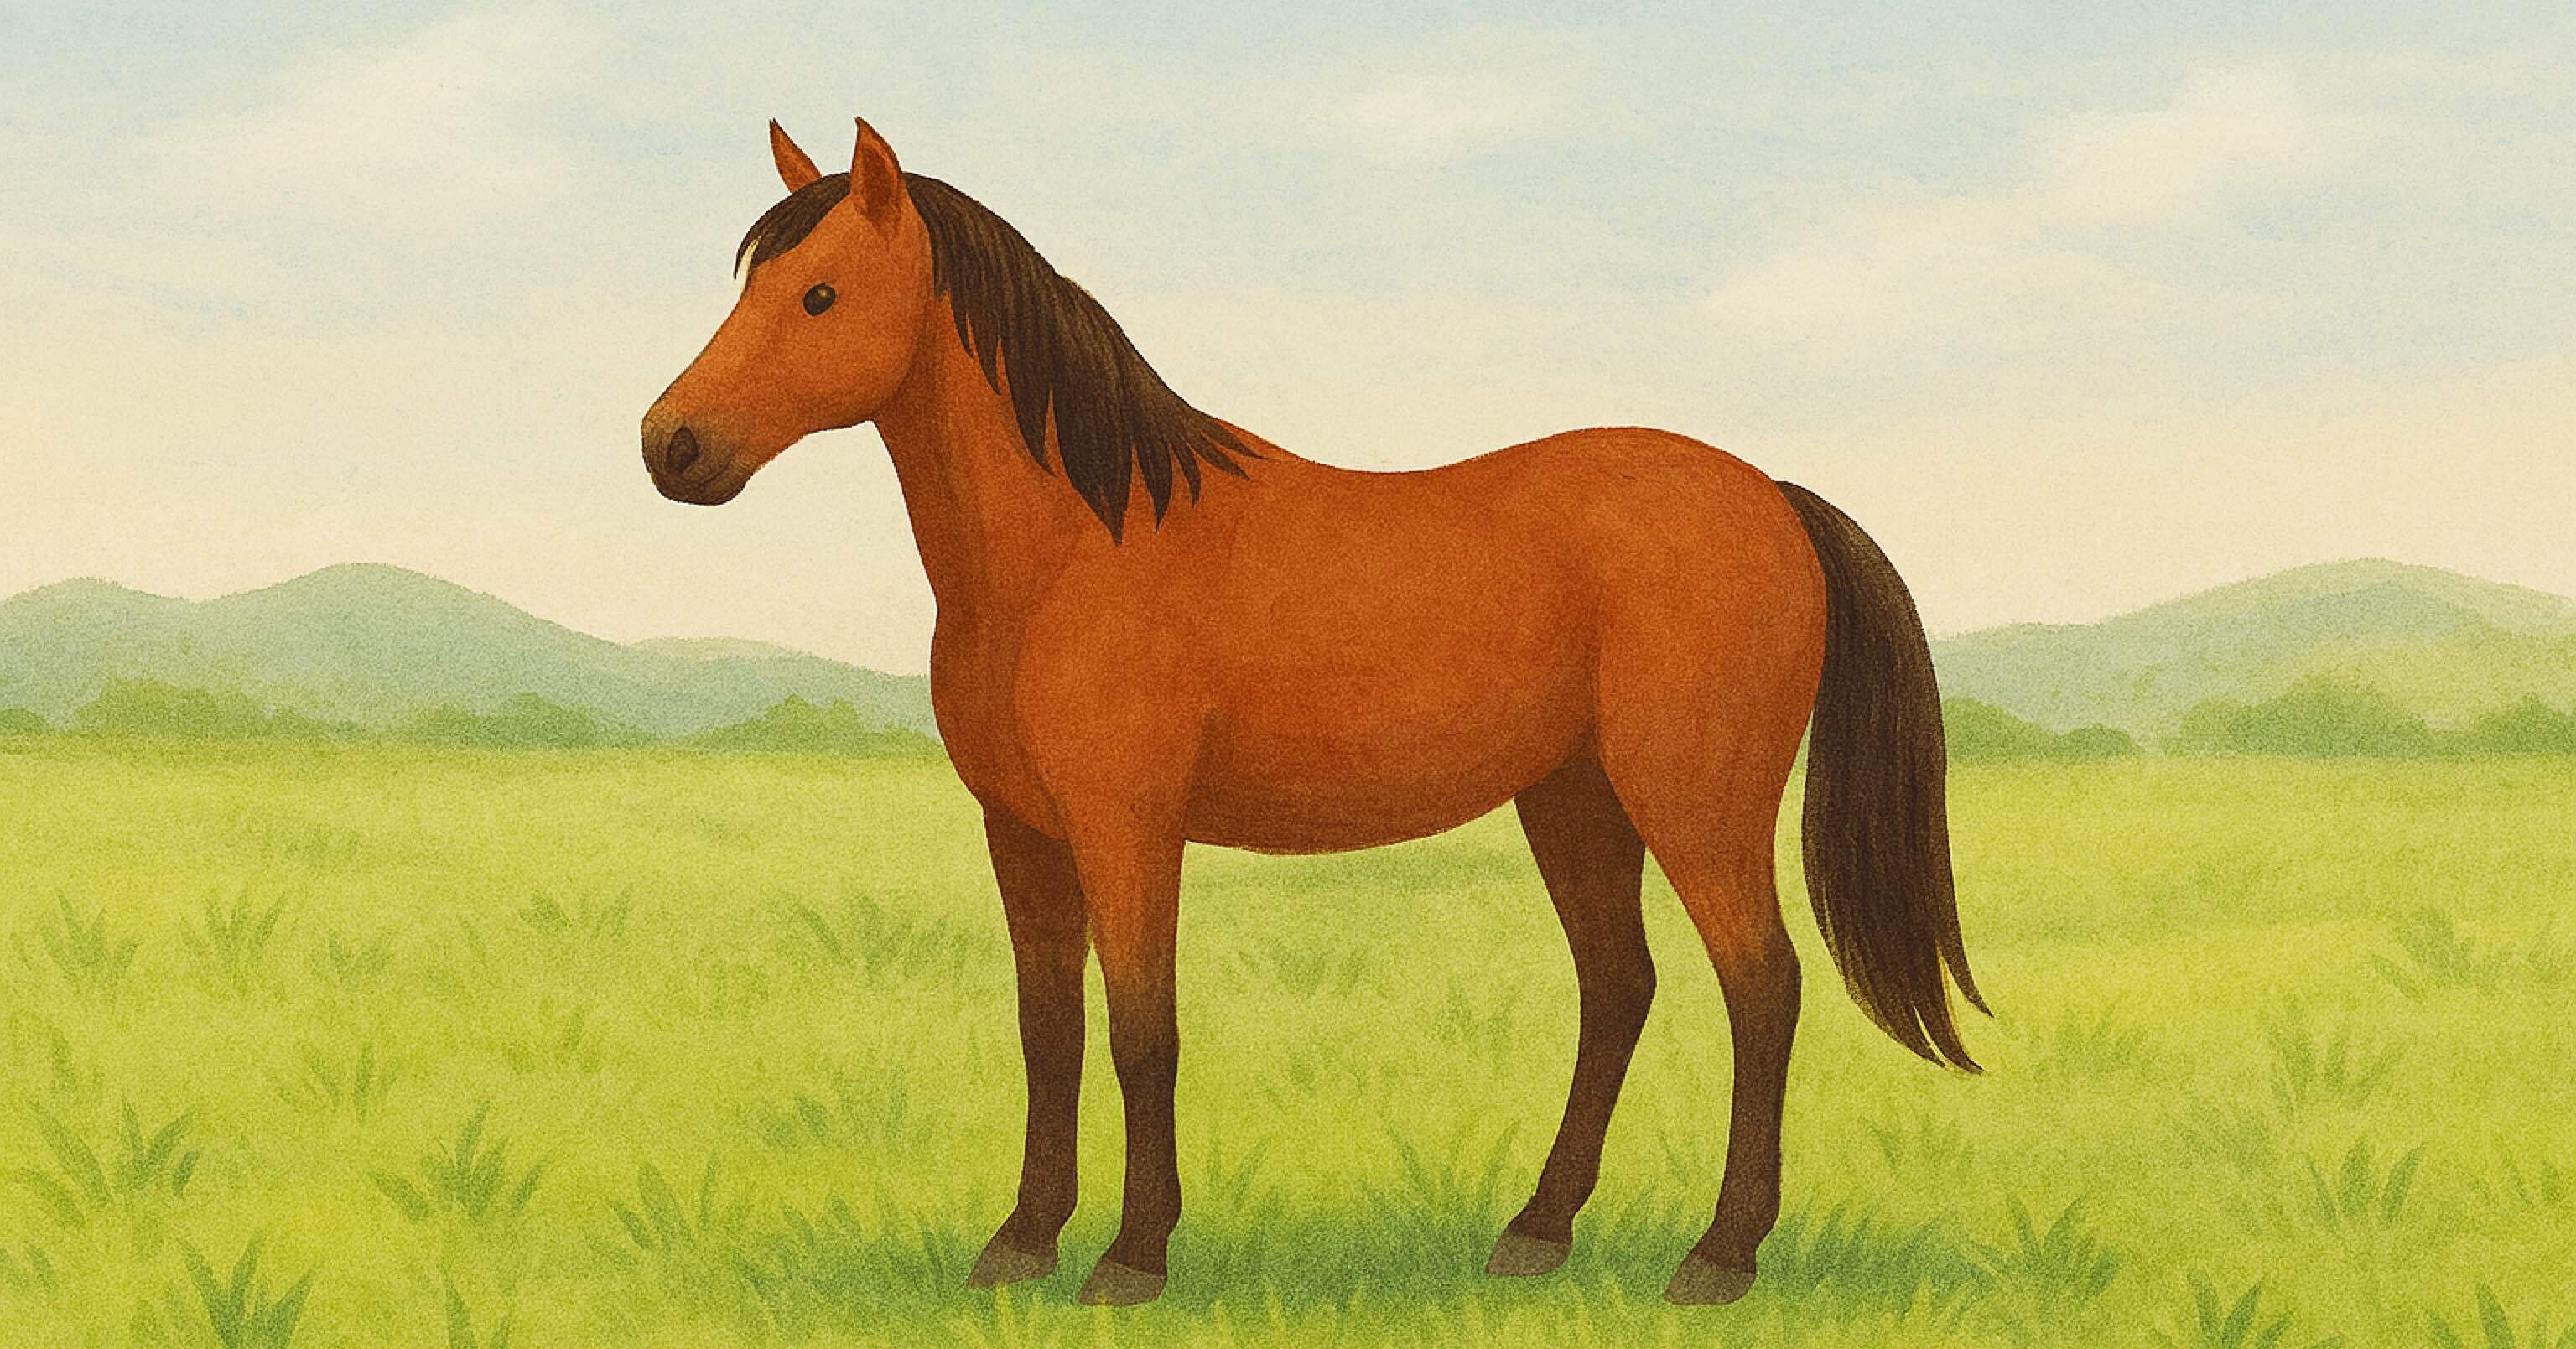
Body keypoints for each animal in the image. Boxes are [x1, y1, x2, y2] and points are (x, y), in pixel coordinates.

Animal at [641, 117, 1985, 1308]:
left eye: (819, 295)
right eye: (755, 285)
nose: (672, 447)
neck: (1075, 550)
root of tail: (1770, 495)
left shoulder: (1129, 831)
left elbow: (1141, 1033)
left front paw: (1132, 1258)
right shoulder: (1022, 834)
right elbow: (1047, 1029)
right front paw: (1020, 1243)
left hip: (1696, 807)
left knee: (1762, 991)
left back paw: (1720, 1255)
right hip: (1574, 800)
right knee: (1619, 988)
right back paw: (1536, 1233)